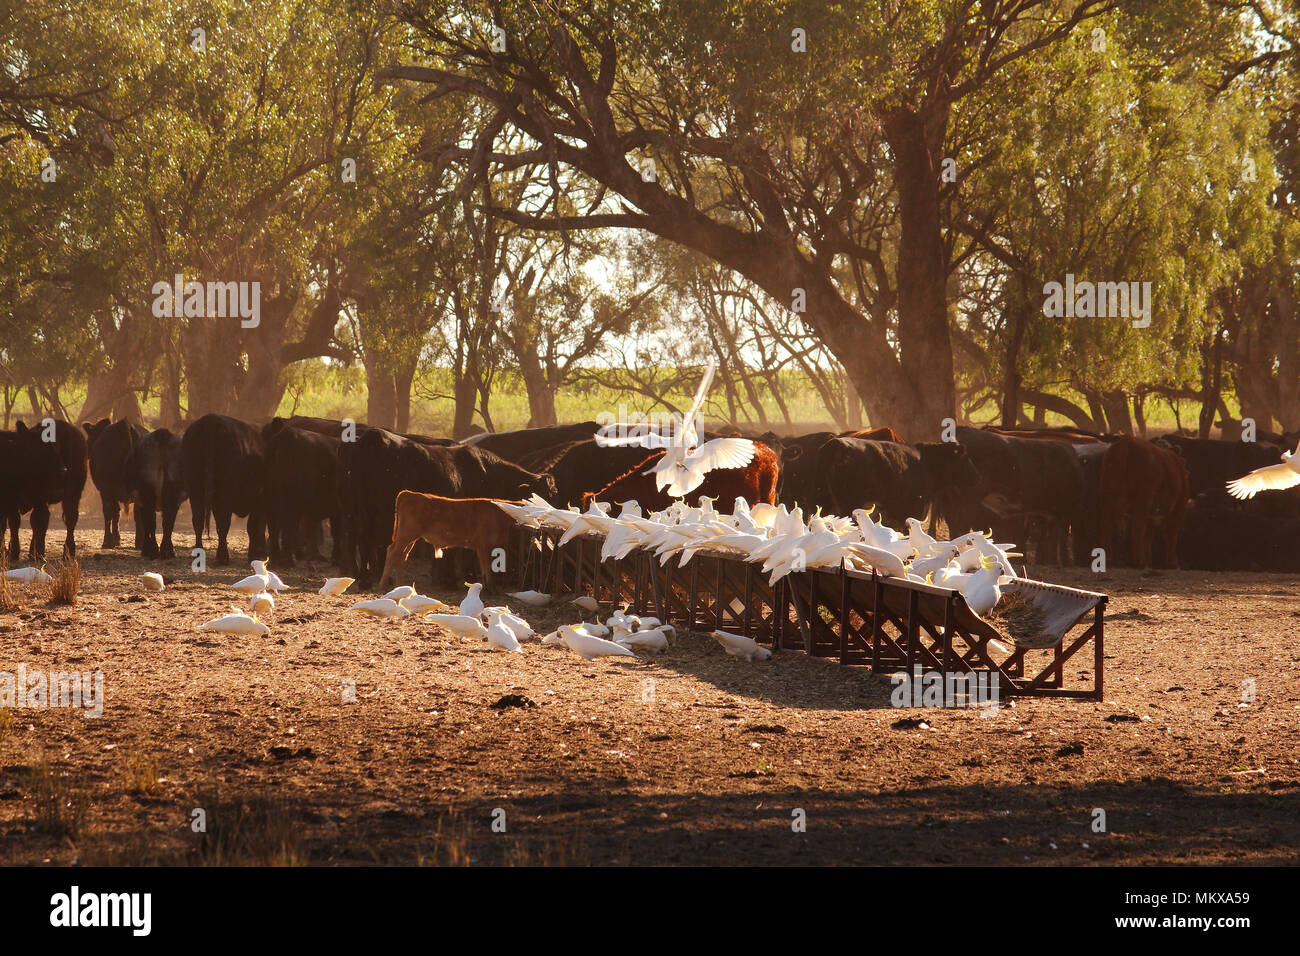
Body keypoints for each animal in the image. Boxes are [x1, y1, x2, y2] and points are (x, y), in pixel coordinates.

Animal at [83, 416, 147, 546]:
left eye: (90, 438)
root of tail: (125, 425)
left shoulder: (104, 490)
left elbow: (112, 512)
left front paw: (113, 539)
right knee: (138, 512)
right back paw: (140, 542)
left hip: (107, 488)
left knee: (109, 510)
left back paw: (107, 541)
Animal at [180, 413, 266, 564]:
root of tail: (211, 420)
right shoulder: (259, 498)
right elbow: (253, 526)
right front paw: (253, 555)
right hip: (225, 492)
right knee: (223, 522)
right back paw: (222, 557)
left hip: (195, 488)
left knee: (198, 520)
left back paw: (199, 552)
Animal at [1097, 439, 1190, 567]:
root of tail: (1127, 442)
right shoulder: (1179, 507)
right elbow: (1171, 535)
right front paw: (1173, 563)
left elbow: (1149, 537)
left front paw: (1148, 561)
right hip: (1143, 499)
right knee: (1138, 526)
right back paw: (1138, 561)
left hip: (1107, 495)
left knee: (1106, 526)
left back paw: (1109, 559)